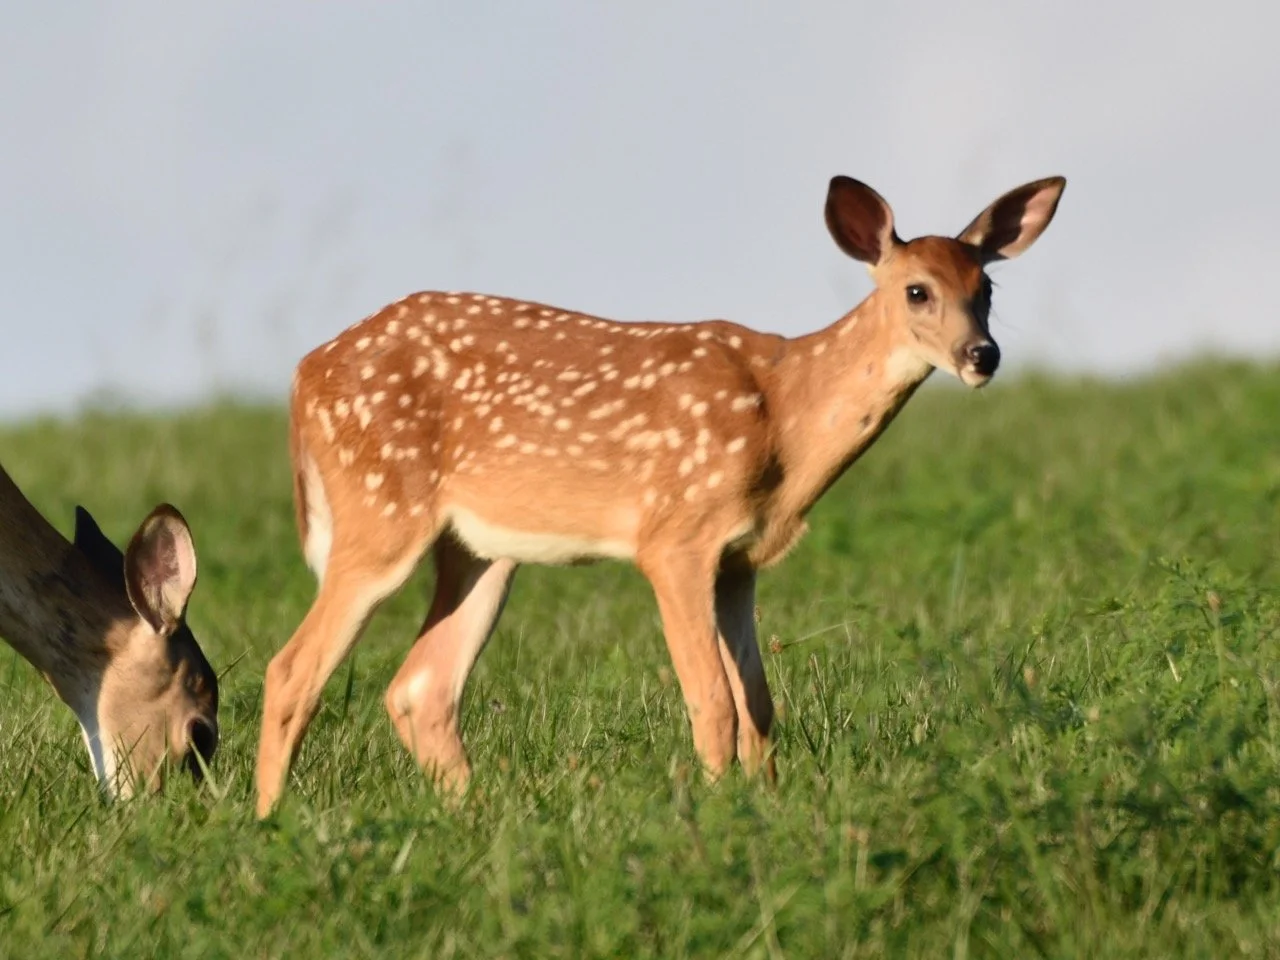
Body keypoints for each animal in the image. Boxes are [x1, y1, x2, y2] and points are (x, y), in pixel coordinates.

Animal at [254, 173, 1066, 817]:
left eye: (987, 288)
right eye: (916, 290)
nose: (981, 355)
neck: (785, 418)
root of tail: (301, 374)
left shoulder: (740, 558)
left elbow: (758, 704)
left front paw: (764, 806)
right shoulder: (675, 535)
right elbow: (711, 701)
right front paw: (714, 814)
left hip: (480, 548)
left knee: (421, 687)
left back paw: (476, 815)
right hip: (380, 509)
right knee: (292, 669)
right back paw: (268, 822)